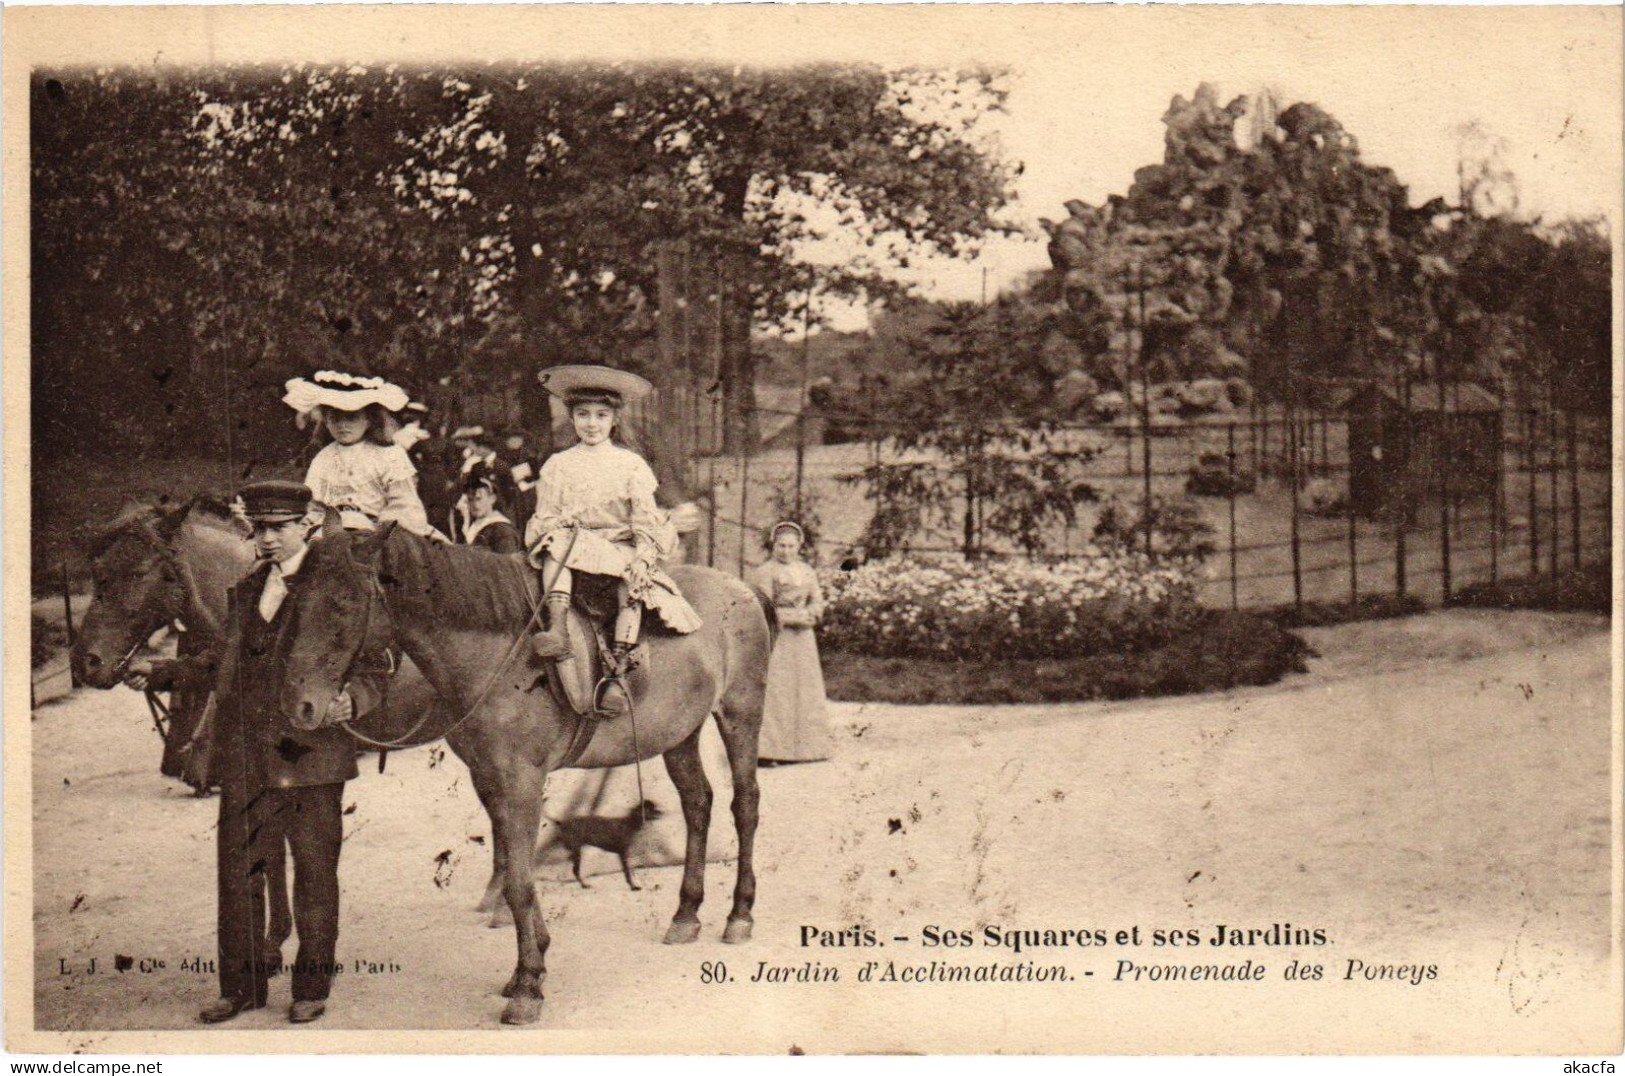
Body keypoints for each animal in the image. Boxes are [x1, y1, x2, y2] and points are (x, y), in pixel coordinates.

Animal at [276, 523, 770, 1027]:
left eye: (344, 603)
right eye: (294, 595)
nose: (300, 705)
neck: (499, 656)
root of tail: (743, 587)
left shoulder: (523, 784)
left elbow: (518, 881)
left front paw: (529, 985)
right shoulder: (490, 781)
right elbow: (516, 876)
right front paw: (528, 968)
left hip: (740, 713)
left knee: (744, 804)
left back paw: (739, 915)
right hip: (681, 733)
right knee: (698, 804)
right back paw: (686, 914)